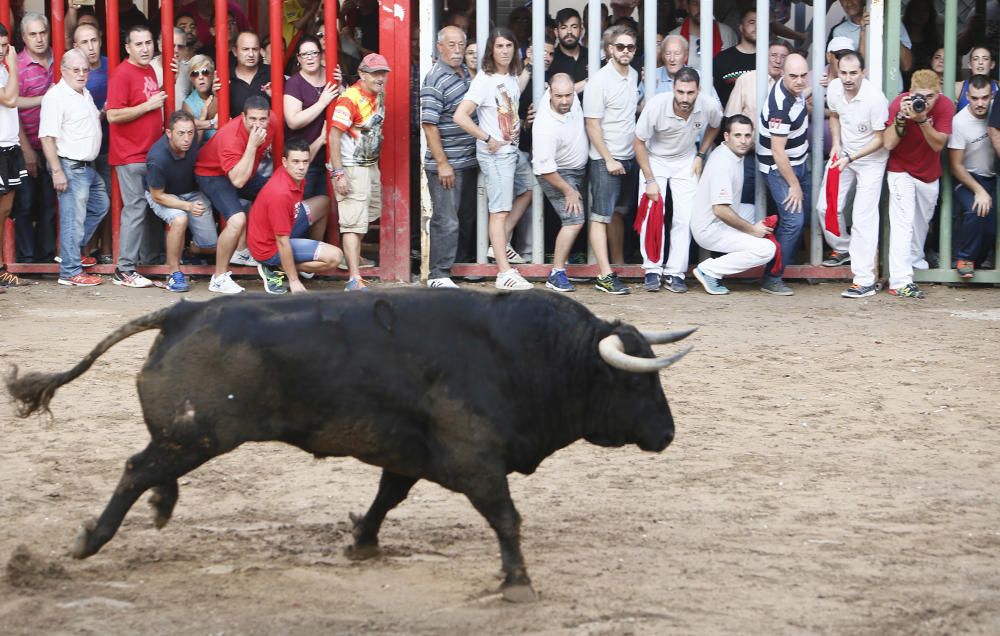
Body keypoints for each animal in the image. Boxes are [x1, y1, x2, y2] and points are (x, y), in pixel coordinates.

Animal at [5, 288, 696, 600]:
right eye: (639, 384)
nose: (667, 434)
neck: (533, 355)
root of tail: (183, 311)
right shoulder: (476, 458)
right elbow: (506, 517)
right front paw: (518, 581)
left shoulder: (410, 457)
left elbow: (386, 499)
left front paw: (360, 541)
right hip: (198, 436)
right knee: (135, 467)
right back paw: (91, 539)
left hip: (187, 436)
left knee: (151, 467)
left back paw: (160, 507)